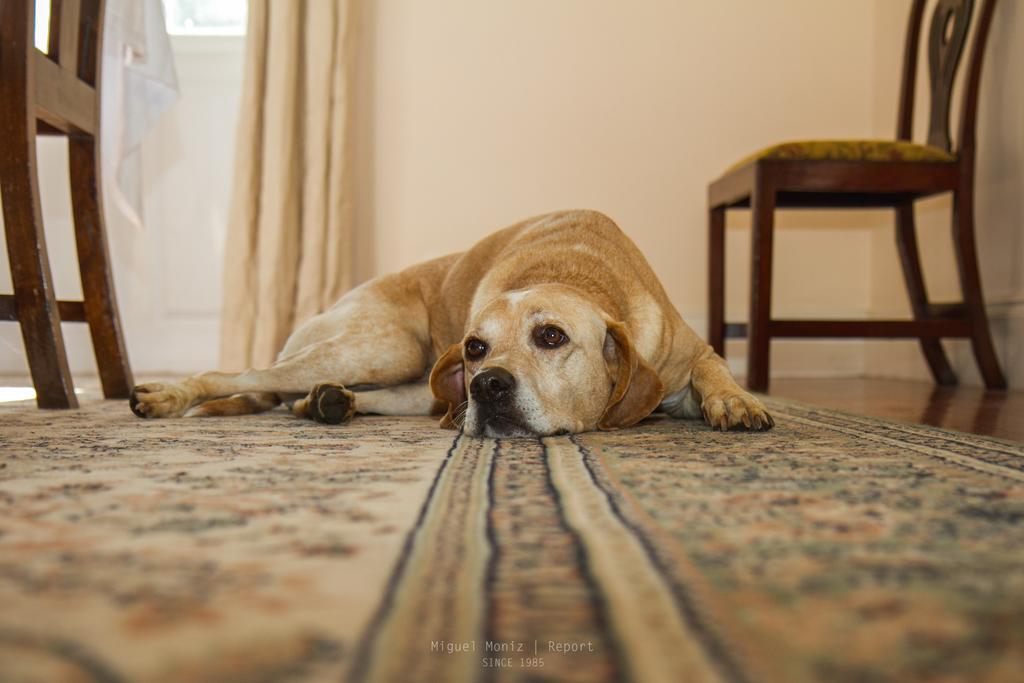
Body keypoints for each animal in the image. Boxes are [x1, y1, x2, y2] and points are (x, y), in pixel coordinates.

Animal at [128, 209, 770, 438]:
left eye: (552, 337)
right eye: (475, 347)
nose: (486, 386)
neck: (571, 270)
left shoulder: (688, 355)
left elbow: (716, 370)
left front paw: (736, 400)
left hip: (409, 380)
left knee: (338, 397)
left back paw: (325, 403)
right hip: (385, 346)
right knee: (238, 375)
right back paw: (166, 394)